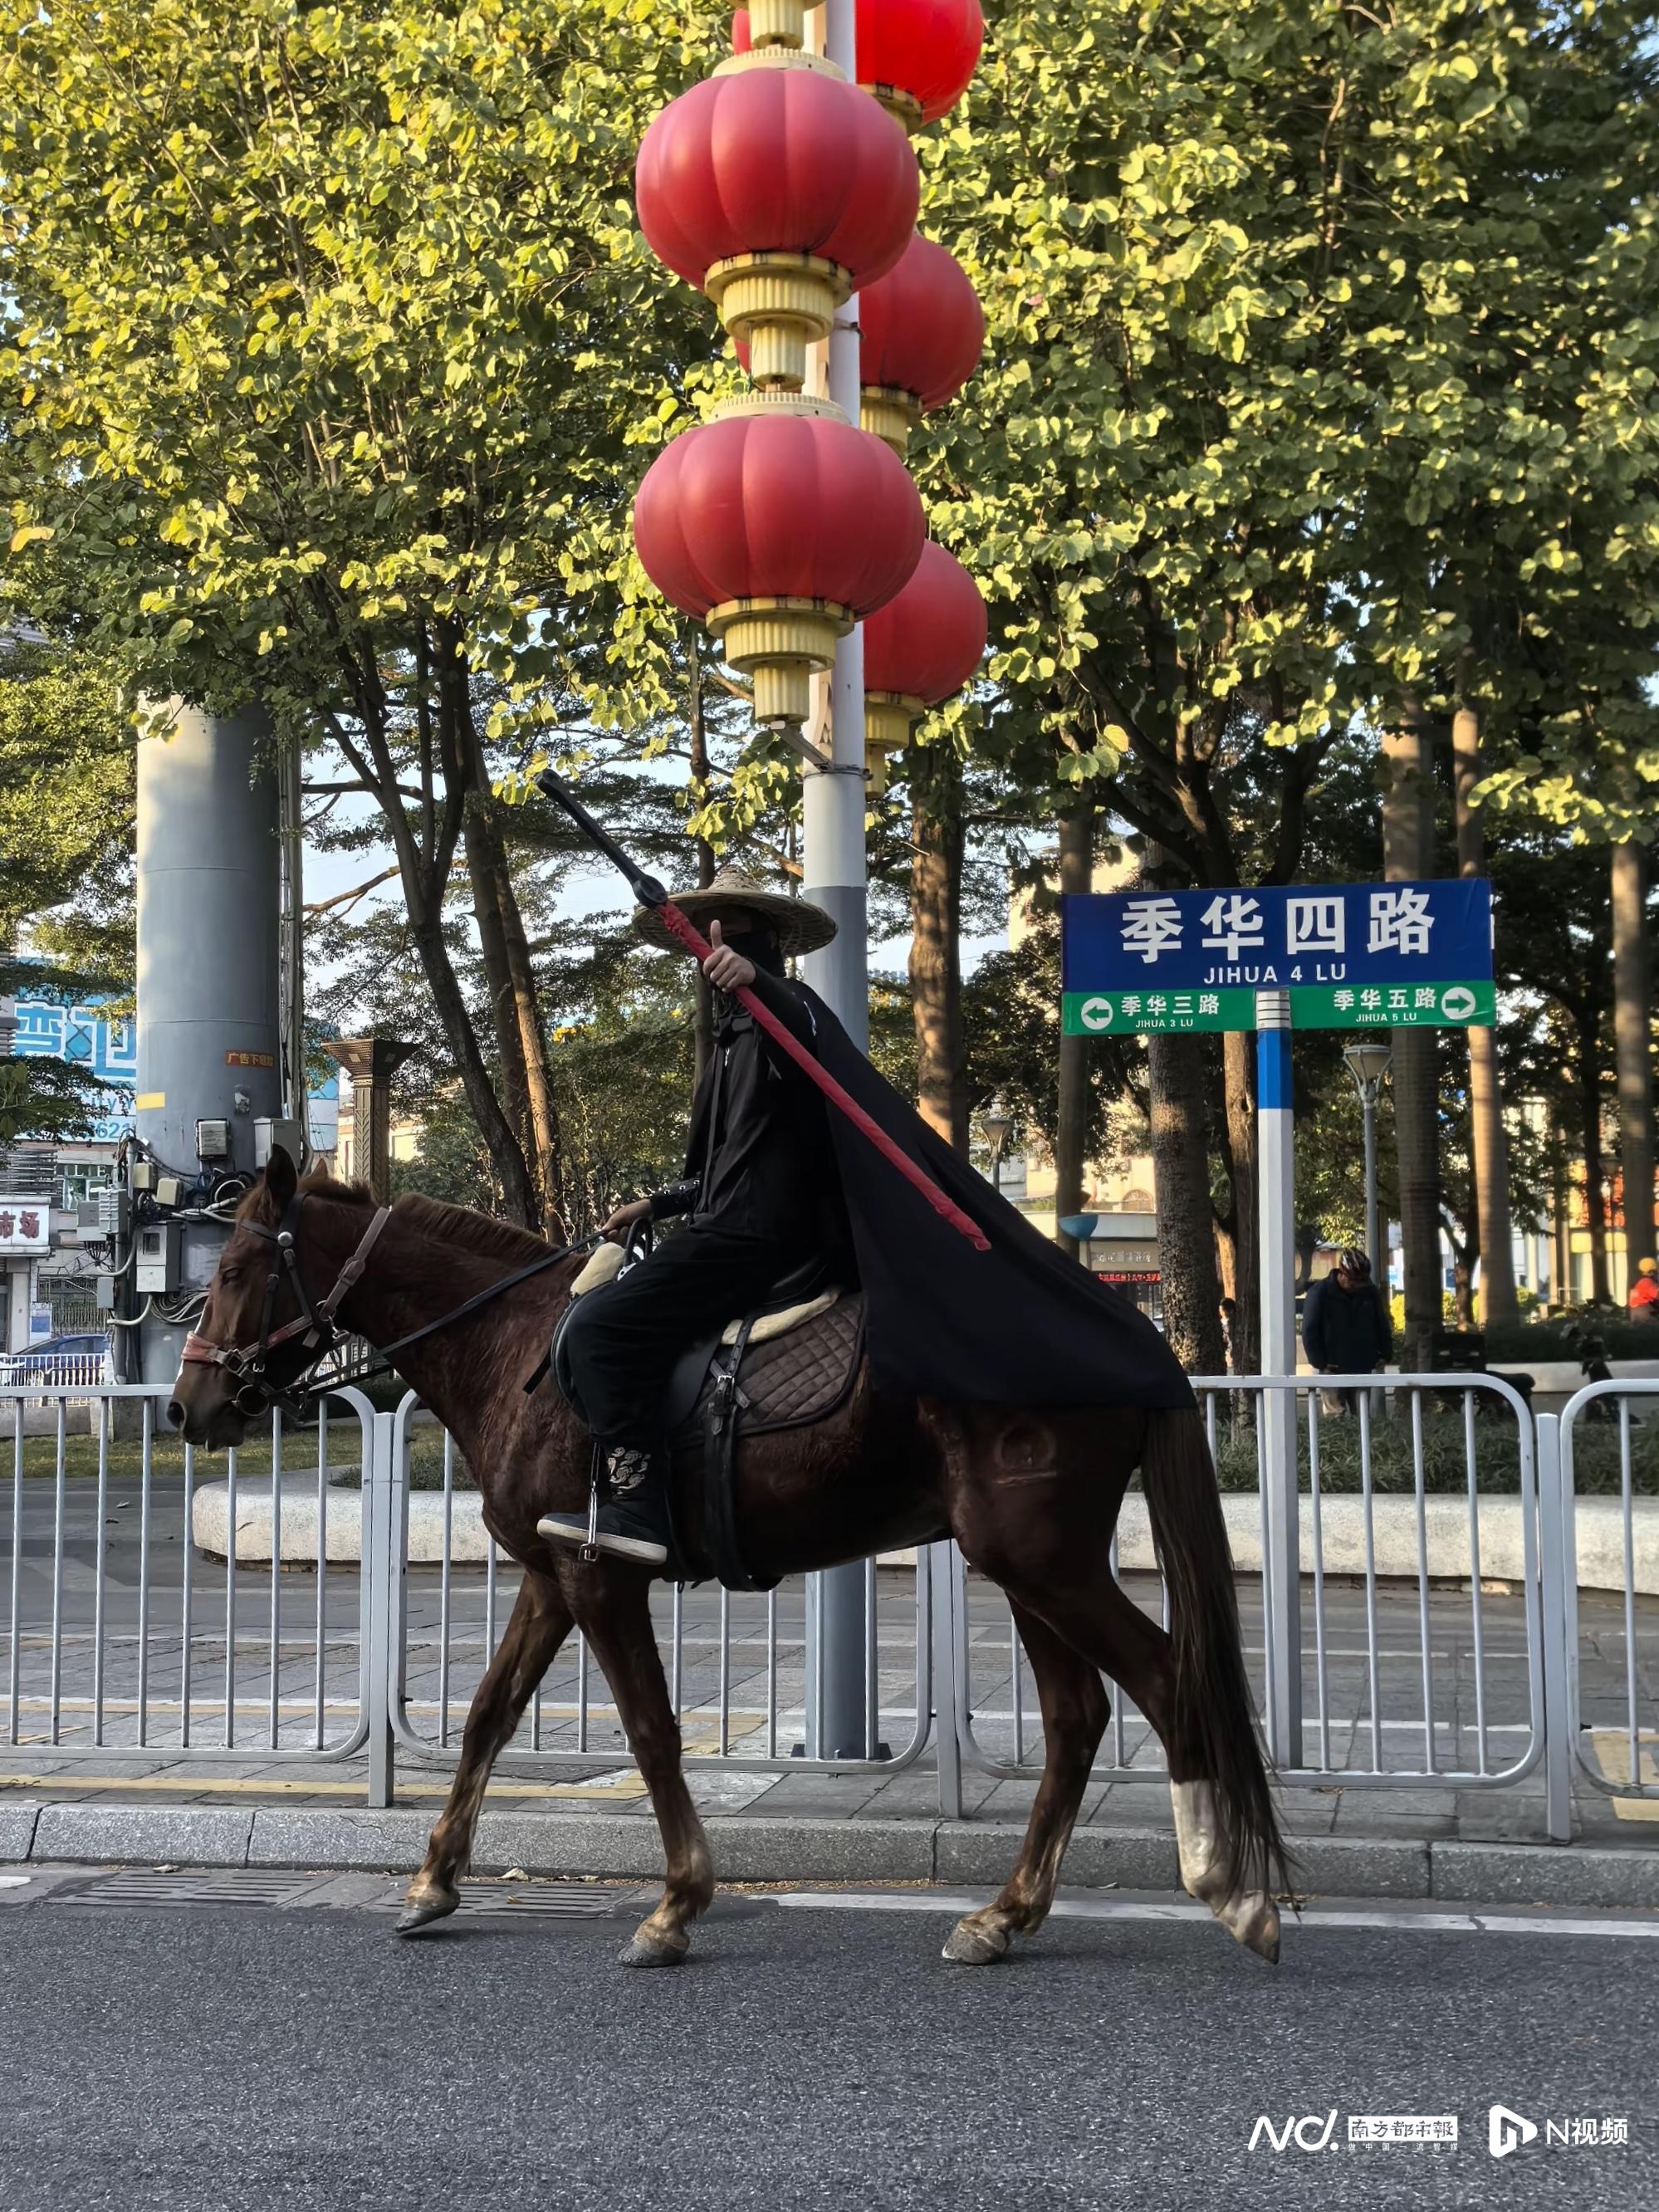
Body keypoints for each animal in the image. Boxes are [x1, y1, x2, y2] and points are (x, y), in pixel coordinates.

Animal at [169, 1150, 1283, 1964]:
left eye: (231, 1275)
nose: (187, 1408)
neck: (514, 1346)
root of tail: (1134, 1334)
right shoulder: (550, 1575)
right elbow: (487, 1716)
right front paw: (435, 1878)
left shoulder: (600, 1575)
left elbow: (652, 1730)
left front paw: (676, 1903)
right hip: (1023, 1569)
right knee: (1076, 1718)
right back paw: (1006, 1915)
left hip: (1044, 1562)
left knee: (1164, 1686)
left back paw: (1229, 1891)